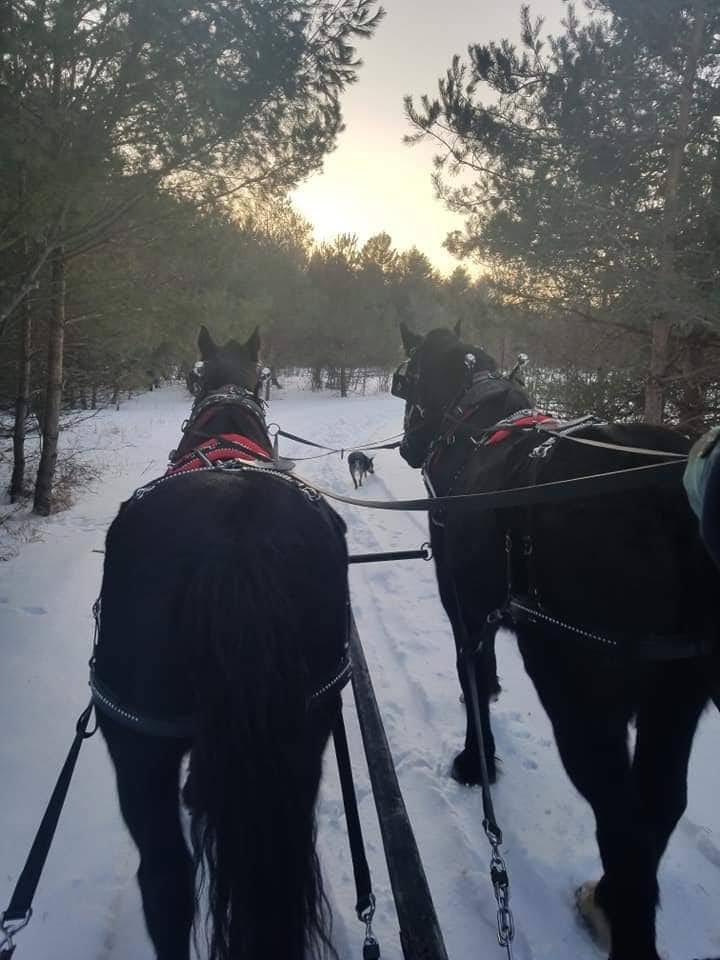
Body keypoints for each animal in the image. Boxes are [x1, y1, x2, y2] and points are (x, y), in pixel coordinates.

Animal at [393, 322, 720, 960]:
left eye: (407, 377)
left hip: (581, 699)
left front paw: (473, 762)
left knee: (621, 819)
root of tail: (667, 497)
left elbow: (472, 677)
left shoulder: (462, 608)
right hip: (677, 691)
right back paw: (607, 899)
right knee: (661, 803)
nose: (407, 449)